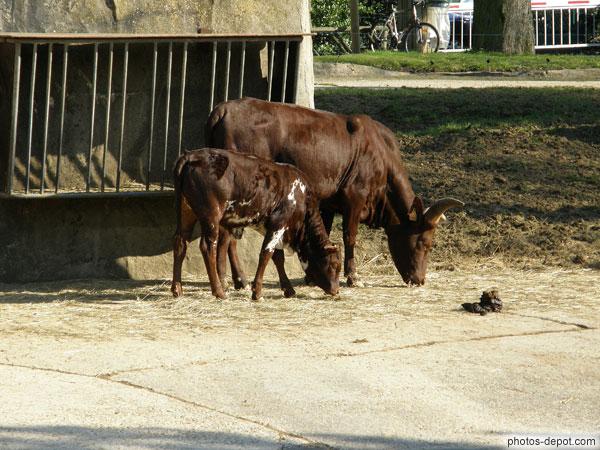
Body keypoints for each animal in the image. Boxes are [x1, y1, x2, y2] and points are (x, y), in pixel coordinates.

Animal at [171, 148, 341, 301]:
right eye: (334, 265)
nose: (336, 291)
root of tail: (191, 155)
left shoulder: (269, 227)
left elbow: (277, 257)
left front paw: (288, 289)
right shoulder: (279, 223)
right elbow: (266, 254)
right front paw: (257, 292)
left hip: (186, 211)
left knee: (181, 242)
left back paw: (177, 289)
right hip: (211, 216)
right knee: (208, 247)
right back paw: (219, 291)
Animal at [205, 97, 464, 289]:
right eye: (424, 244)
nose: (419, 280)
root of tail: (224, 108)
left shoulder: (327, 202)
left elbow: (327, 232)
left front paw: (312, 276)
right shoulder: (355, 196)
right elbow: (350, 235)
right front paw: (353, 276)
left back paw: (237, 279)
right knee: (227, 236)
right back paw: (231, 279)